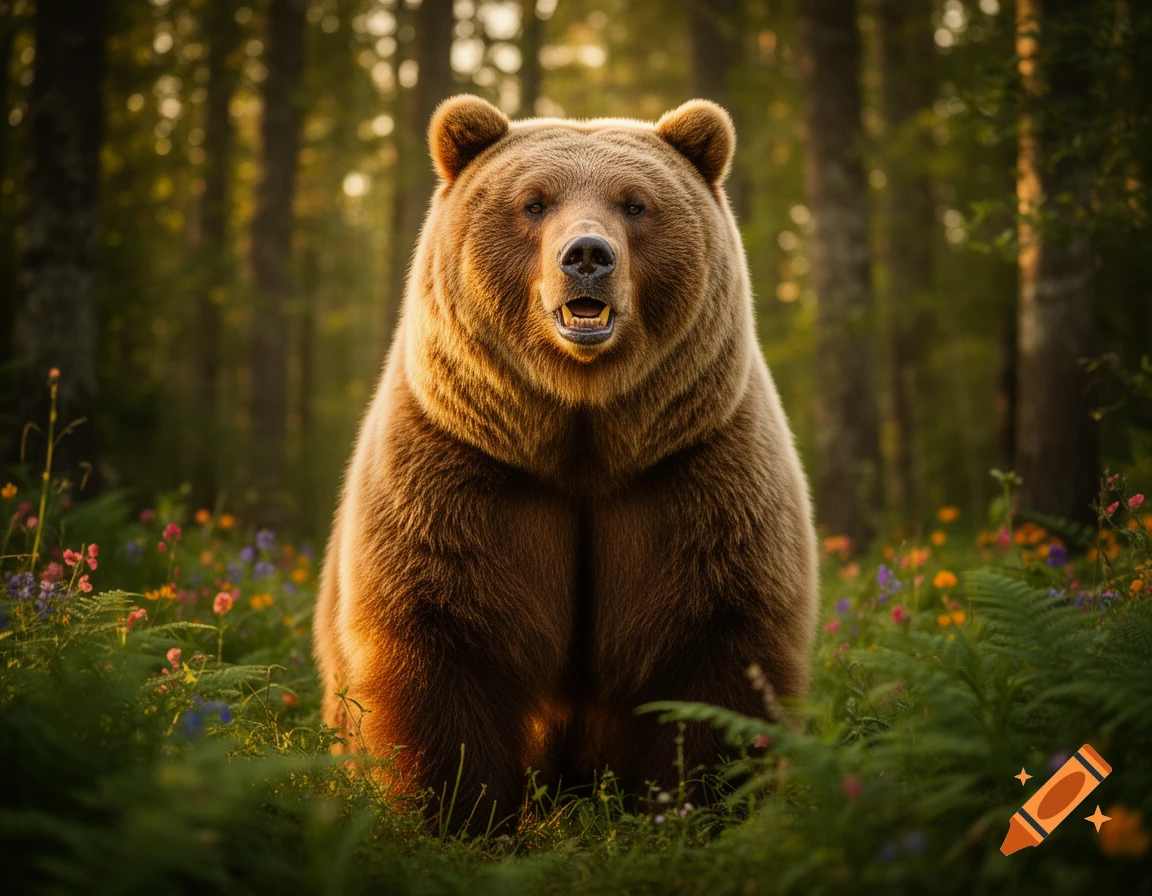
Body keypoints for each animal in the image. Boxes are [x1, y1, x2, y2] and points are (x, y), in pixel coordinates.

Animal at [313, 95, 818, 828]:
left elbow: (718, 645)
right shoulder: (463, 470)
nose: (587, 254)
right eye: (533, 202)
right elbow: (443, 639)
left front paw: (701, 806)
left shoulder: (696, 472)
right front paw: (457, 813)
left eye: (635, 204)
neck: (583, 433)